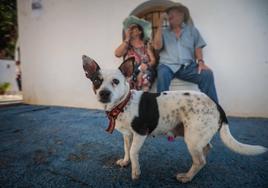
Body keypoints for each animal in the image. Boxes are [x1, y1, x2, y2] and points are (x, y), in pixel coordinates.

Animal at [82, 54, 268, 182]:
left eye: (116, 81)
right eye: (96, 81)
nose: (104, 93)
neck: (124, 103)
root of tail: (216, 105)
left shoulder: (140, 133)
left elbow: (134, 151)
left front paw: (135, 172)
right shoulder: (128, 135)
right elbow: (127, 149)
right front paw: (126, 162)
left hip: (192, 138)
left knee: (200, 161)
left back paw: (187, 177)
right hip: (197, 137)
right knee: (206, 150)